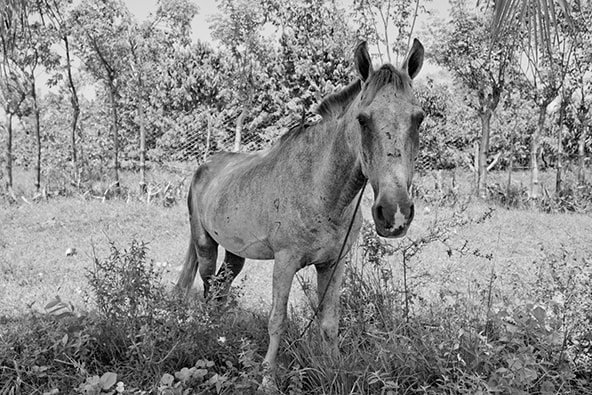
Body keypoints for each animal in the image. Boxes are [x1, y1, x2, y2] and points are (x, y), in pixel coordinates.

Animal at [177, 38, 426, 378]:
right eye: (363, 119)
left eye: (419, 118)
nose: (394, 213)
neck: (321, 193)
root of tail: (204, 167)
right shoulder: (285, 262)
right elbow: (277, 321)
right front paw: (267, 378)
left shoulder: (333, 265)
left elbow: (330, 323)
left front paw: (334, 370)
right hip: (205, 244)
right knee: (208, 285)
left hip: (235, 253)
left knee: (221, 288)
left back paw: (222, 335)